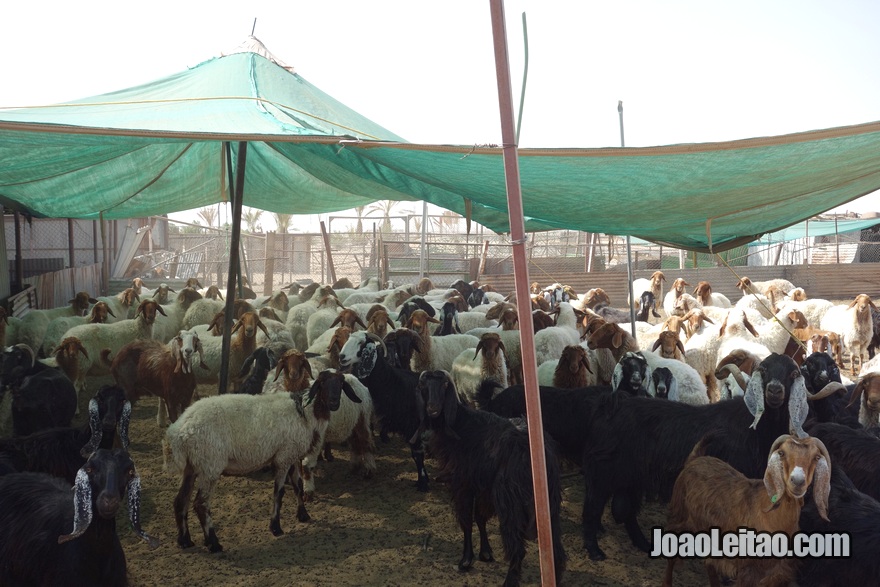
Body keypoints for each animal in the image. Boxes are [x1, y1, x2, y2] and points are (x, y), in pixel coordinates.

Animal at [336, 330, 430, 492]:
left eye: (361, 343)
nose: (342, 357)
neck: (393, 383)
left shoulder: (413, 426)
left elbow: (417, 455)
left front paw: (423, 483)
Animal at [410, 372, 564, 587]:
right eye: (423, 385)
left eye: (445, 385)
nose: (432, 409)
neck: (461, 424)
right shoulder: (483, 488)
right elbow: (480, 517)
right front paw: (485, 553)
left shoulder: (462, 483)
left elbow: (466, 520)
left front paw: (466, 560)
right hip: (549, 498)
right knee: (555, 546)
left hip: (510, 499)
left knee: (517, 546)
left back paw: (510, 580)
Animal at [580, 352, 820, 564]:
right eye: (764, 370)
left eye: (793, 374)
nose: (774, 390)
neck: (753, 428)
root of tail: (612, 404)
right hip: (603, 472)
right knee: (592, 507)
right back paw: (594, 550)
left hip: (630, 477)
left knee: (627, 512)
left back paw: (643, 544)